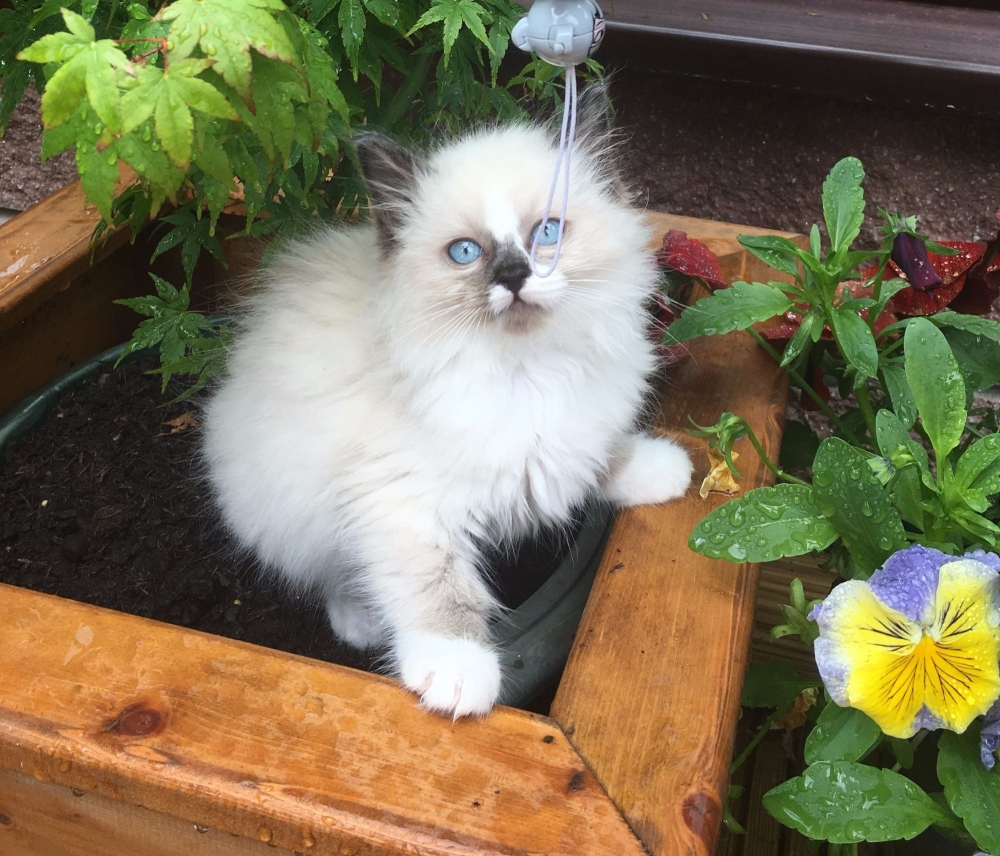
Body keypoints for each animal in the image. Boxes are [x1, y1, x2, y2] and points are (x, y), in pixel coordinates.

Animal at [203, 85, 688, 716]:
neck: (528, 371)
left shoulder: (575, 433)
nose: (513, 275)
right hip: (287, 506)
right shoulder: (400, 503)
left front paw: (661, 470)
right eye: (465, 253)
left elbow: (602, 455)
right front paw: (458, 673)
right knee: (336, 572)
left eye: (547, 234)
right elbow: (439, 590)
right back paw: (360, 623)